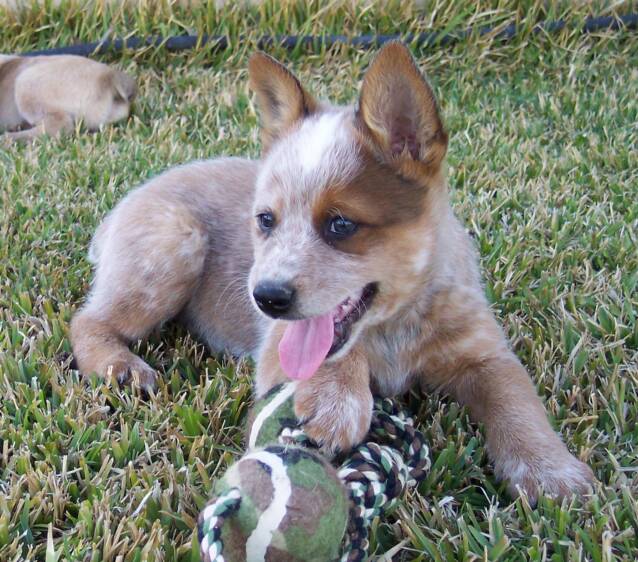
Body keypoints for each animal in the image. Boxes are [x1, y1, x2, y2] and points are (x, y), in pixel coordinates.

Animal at [70, 43, 596, 498]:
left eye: (340, 224)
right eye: (266, 220)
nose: (266, 297)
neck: (396, 326)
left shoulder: (485, 352)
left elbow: (518, 402)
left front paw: (551, 471)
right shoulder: (279, 347)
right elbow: (330, 353)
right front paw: (334, 403)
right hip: (175, 241)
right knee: (86, 320)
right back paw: (120, 368)